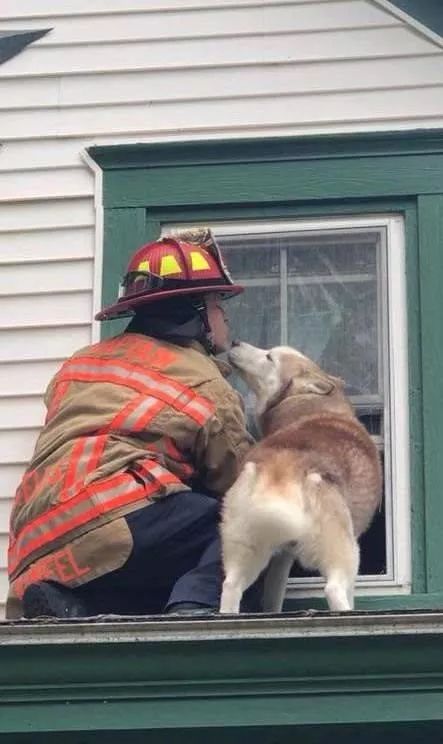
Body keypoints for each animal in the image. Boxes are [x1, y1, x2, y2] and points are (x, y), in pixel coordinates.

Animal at [220, 342, 384, 612]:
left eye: (269, 356)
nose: (234, 343)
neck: (308, 404)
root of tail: (281, 466)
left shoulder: (283, 558)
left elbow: (273, 598)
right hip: (345, 550)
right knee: (334, 589)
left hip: (246, 548)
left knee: (230, 586)